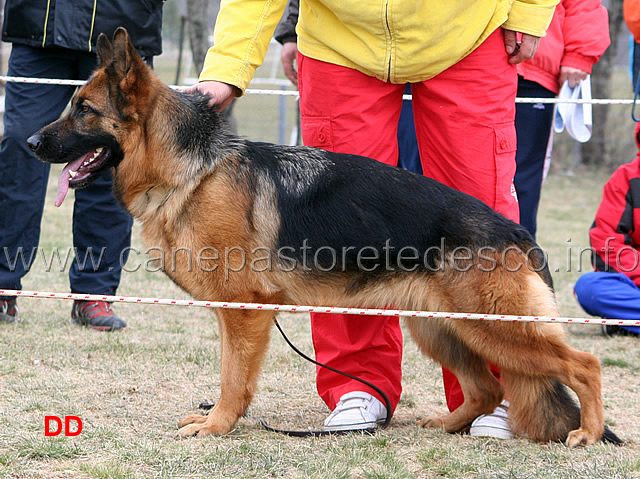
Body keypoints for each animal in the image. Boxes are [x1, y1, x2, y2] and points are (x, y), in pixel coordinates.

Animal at [26, 30, 620, 448]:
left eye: (84, 110)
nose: (29, 142)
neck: (192, 169)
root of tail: (517, 231)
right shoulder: (236, 313)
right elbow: (229, 375)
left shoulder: (245, 311)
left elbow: (233, 379)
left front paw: (218, 427)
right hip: (443, 329)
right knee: (489, 387)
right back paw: (442, 424)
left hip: (495, 329)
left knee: (582, 366)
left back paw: (587, 433)